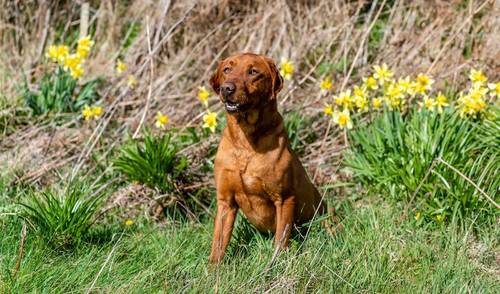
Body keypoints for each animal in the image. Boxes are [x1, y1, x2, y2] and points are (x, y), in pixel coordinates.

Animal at [207, 53, 324, 264]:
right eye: (227, 69)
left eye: (253, 72)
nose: (226, 88)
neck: (245, 142)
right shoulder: (225, 202)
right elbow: (218, 245)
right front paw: (213, 270)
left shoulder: (284, 199)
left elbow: (280, 241)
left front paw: (274, 266)